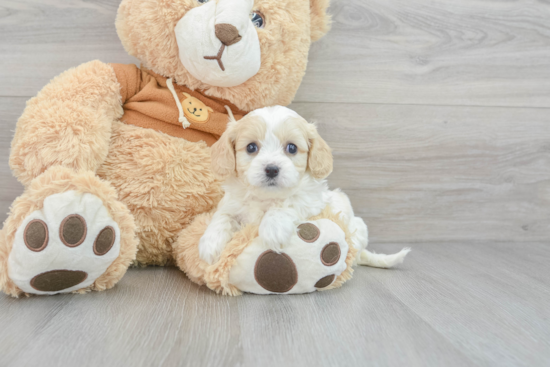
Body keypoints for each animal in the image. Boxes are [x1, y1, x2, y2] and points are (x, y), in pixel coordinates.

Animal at [198, 106, 410, 268]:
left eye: (292, 148)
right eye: (251, 147)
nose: (272, 169)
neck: (266, 197)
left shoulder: (312, 200)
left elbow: (288, 203)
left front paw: (272, 229)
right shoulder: (231, 204)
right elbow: (222, 217)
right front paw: (210, 244)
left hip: (357, 228)